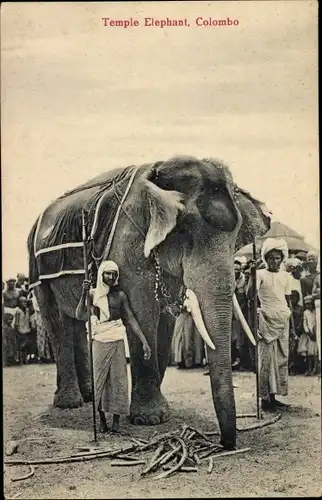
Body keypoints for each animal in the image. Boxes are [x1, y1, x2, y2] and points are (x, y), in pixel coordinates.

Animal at [27, 156, 270, 450]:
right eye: (185, 232)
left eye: (236, 239)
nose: (226, 444)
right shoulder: (129, 241)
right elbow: (142, 312)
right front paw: (149, 419)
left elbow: (166, 319)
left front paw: (161, 414)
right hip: (38, 271)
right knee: (57, 322)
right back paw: (70, 403)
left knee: (76, 321)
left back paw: (89, 397)